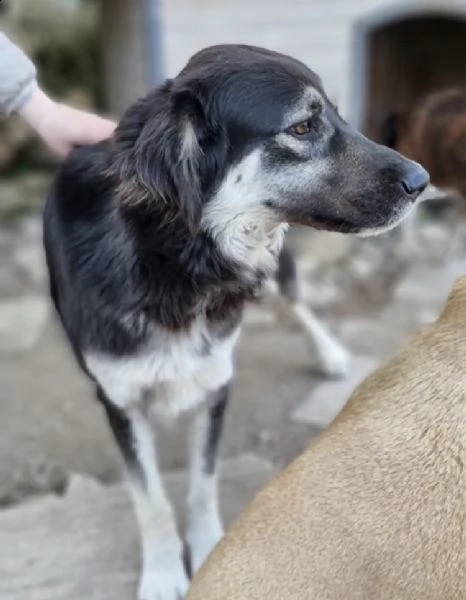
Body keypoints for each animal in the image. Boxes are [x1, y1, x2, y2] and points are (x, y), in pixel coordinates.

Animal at [43, 44, 430, 596]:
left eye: (336, 115)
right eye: (302, 127)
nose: (423, 181)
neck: (174, 262)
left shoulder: (215, 382)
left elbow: (203, 485)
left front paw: (209, 552)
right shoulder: (119, 401)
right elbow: (151, 500)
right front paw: (163, 573)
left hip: (276, 271)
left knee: (296, 301)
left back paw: (330, 353)